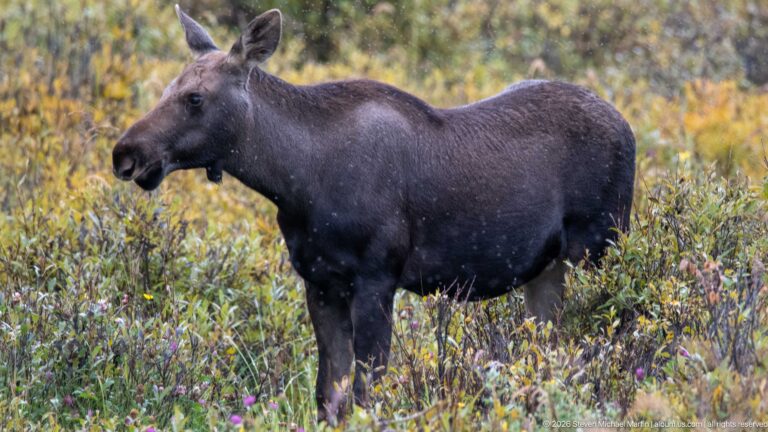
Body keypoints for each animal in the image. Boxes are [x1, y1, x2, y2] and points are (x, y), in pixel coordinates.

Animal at [112, 6, 635, 423]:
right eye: (168, 87)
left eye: (195, 97)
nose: (126, 154)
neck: (294, 180)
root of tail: (628, 128)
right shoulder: (320, 281)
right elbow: (328, 395)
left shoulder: (376, 278)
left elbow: (366, 394)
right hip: (547, 271)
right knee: (553, 358)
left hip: (598, 249)